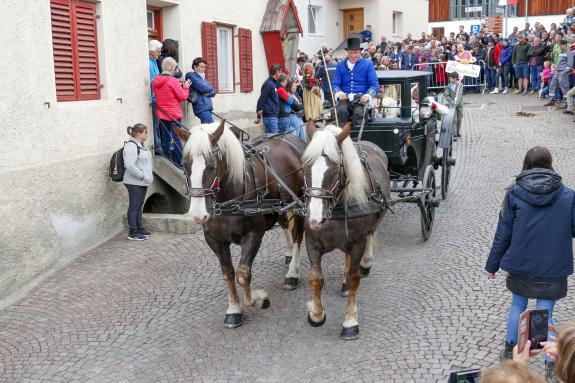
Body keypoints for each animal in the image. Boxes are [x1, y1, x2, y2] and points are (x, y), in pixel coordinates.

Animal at [183, 121, 306, 328]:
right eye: (185, 165)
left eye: (212, 165)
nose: (198, 214)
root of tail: (293, 138)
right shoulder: (214, 239)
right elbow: (228, 273)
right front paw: (233, 310)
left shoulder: (253, 235)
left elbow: (242, 274)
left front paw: (259, 300)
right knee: (284, 224)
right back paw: (289, 255)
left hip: (303, 204)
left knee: (298, 235)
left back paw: (292, 274)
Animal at [302, 121, 392, 340]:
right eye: (305, 166)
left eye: (335, 170)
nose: (315, 218)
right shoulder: (312, 241)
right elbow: (316, 278)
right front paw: (316, 314)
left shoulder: (358, 241)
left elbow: (354, 278)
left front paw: (350, 321)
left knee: (369, 237)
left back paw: (365, 263)